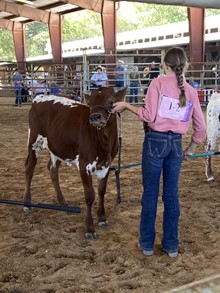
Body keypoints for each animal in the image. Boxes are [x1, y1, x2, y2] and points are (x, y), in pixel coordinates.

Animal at [23, 86, 126, 237]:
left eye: (111, 101)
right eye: (90, 104)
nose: (94, 117)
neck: (104, 142)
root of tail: (39, 98)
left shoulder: (107, 165)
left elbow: (101, 191)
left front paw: (102, 218)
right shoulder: (84, 165)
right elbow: (90, 195)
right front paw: (89, 228)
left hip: (56, 147)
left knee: (52, 170)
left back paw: (63, 202)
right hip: (34, 141)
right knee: (29, 169)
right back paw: (26, 203)